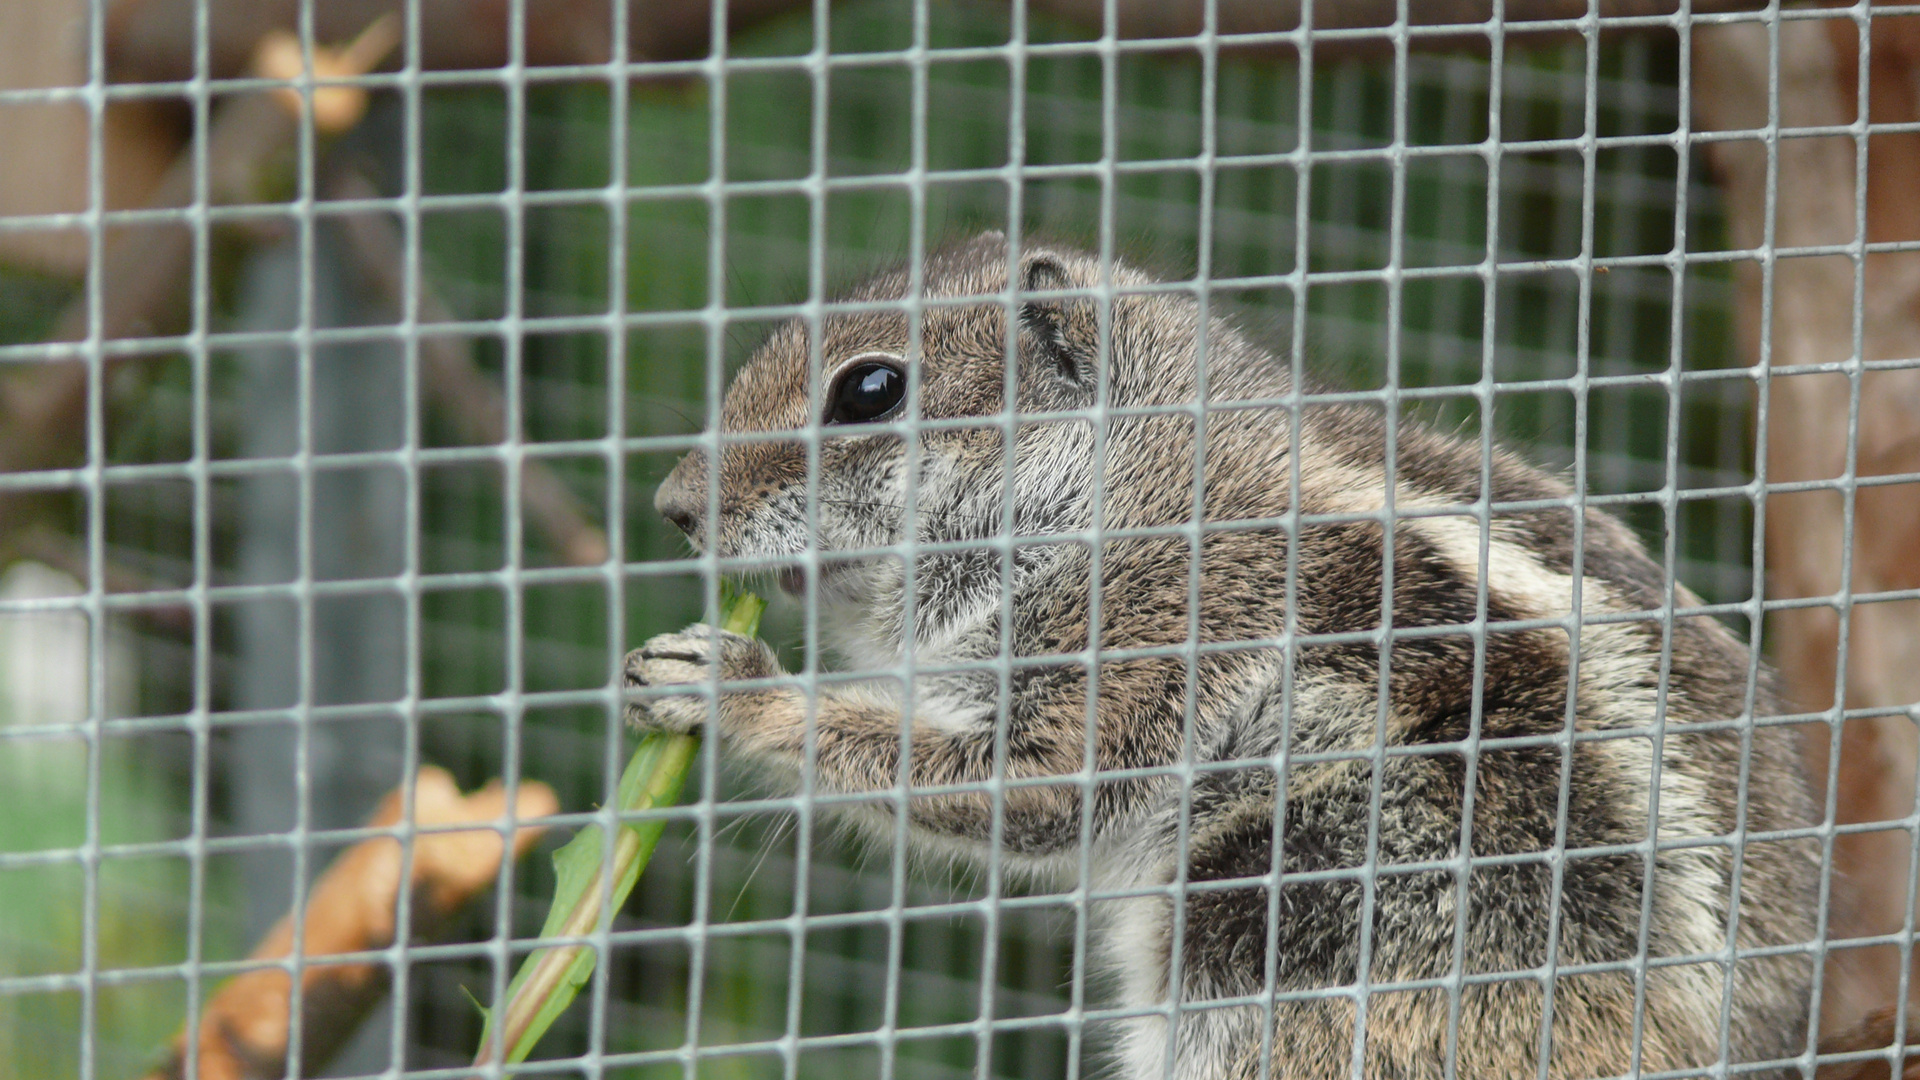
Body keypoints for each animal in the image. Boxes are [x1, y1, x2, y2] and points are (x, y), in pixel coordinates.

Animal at [625, 233, 1812, 1076]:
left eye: (870, 390)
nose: (673, 507)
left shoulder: (1163, 628)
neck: (1131, 478)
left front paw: (730, 684)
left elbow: (1033, 788)